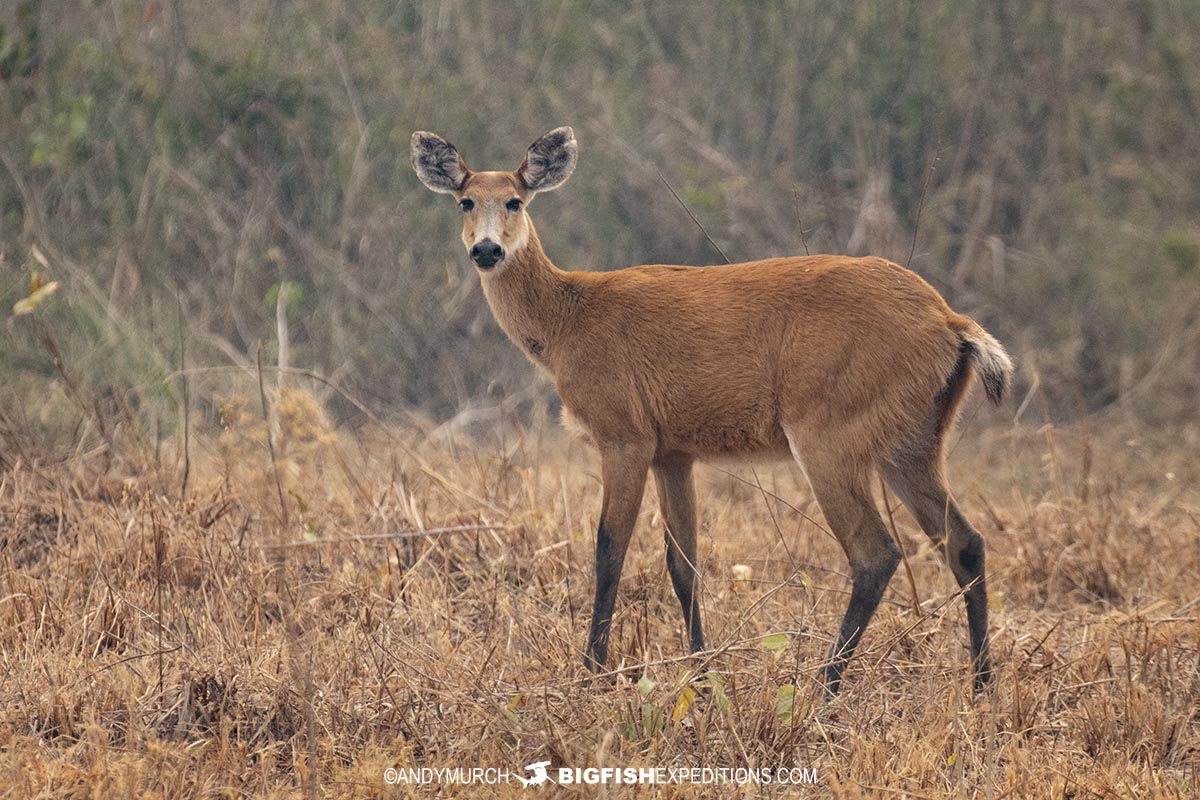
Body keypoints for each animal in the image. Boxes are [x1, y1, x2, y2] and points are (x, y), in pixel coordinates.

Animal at [412, 125, 1012, 695]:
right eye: (466, 201)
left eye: (515, 200)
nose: (486, 250)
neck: (568, 323)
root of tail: (952, 324)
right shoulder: (673, 450)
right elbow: (684, 564)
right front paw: (701, 676)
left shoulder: (624, 432)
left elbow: (609, 550)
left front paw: (590, 675)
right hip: (913, 440)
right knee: (966, 542)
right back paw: (981, 684)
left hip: (829, 430)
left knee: (875, 552)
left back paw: (826, 687)